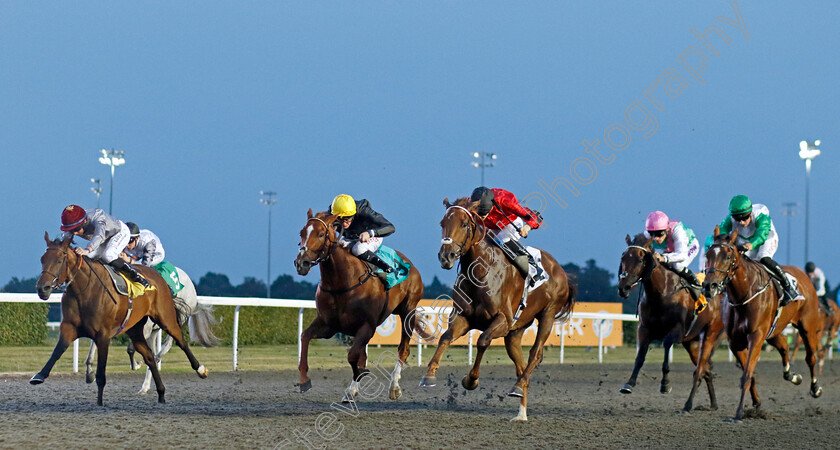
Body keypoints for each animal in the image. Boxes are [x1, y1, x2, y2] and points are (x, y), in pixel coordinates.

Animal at [32, 234, 207, 406]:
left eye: (59, 261)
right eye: (42, 259)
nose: (42, 288)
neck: (84, 290)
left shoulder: (103, 335)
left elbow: (102, 373)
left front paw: (100, 402)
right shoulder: (69, 328)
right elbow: (58, 351)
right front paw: (39, 376)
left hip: (165, 320)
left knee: (179, 343)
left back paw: (200, 370)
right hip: (135, 329)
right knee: (150, 356)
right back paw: (160, 393)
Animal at [294, 211, 426, 400]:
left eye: (320, 234)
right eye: (302, 233)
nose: (301, 263)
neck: (342, 283)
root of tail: (411, 266)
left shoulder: (366, 326)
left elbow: (353, 356)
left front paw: (359, 377)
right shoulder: (329, 325)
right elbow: (305, 337)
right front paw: (304, 380)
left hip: (408, 311)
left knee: (403, 349)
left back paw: (394, 386)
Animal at [424, 198, 576, 422]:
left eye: (464, 224)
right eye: (442, 223)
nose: (446, 257)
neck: (482, 270)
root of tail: (561, 270)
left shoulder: (502, 320)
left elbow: (482, 341)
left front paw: (471, 380)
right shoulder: (463, 318)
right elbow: (445, 338)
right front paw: (428, 375)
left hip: (547, 315)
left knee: (535, 354)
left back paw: (517, 388)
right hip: (515, 332)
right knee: (521, 366)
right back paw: (521, 411)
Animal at [612, 234, 724, 414]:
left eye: (641, 259)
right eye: (623, 258)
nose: (624, 288)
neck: (661, 294)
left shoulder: (676, 331)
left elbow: (665, 352)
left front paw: (665, 385)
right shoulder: (644, 329)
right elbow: (640, 358)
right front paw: (629, 384)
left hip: (710, 334)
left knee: (703, 367)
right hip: (691, 343)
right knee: (706, 369)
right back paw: (713, 404)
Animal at [704, 229, 820, 422]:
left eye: (727, 256)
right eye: (707, 255)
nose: (709, 286)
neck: (744, 295)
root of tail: (803, 274)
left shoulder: (756, 336)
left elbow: (747, 374)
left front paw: (739, 413)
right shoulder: (735, 342)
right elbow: (749, 373)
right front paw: (756, 403)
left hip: (807, 326)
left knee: (810, 357)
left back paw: (815, 388)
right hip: (774, 331)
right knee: (784, 347)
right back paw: (791, 375)